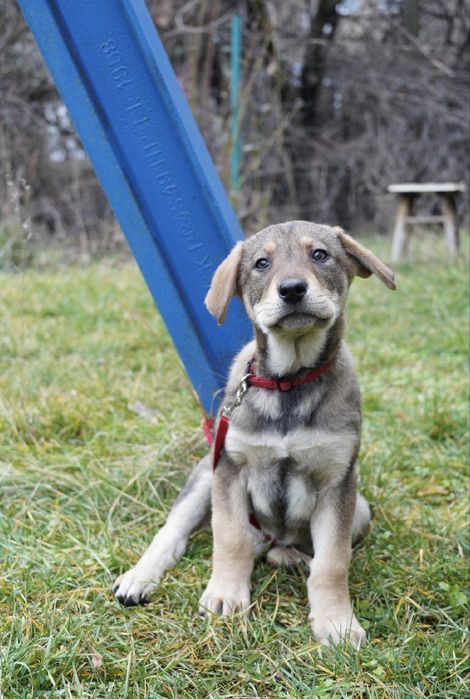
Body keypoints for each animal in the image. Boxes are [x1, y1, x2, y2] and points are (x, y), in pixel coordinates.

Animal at [113, 221, 395, 647]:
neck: (289, 383)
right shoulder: (231, 468)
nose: (292, 289)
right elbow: (229, 537)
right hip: (205, 476)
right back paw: (138, 578)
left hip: (360, 509)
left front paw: (337, 622)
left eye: (320, 255)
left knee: (284, 546)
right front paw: (225, 595)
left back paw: (290, 557)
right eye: (262, 263)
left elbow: (333, 562)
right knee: (177, 533)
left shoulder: (338, 483)